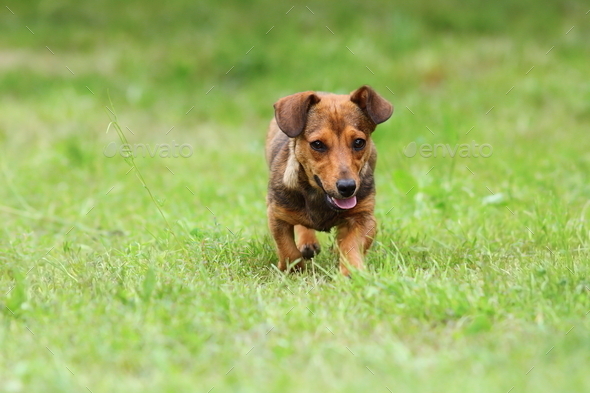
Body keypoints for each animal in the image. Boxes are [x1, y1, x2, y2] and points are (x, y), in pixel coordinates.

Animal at [266, 86, 396, 276]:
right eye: (317, 144)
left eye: (359, 142)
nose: (348, 187)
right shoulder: (276, 215)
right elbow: (288, 250)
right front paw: (294, 271)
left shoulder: (365, 218)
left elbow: (350, 244)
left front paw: (351, 271)